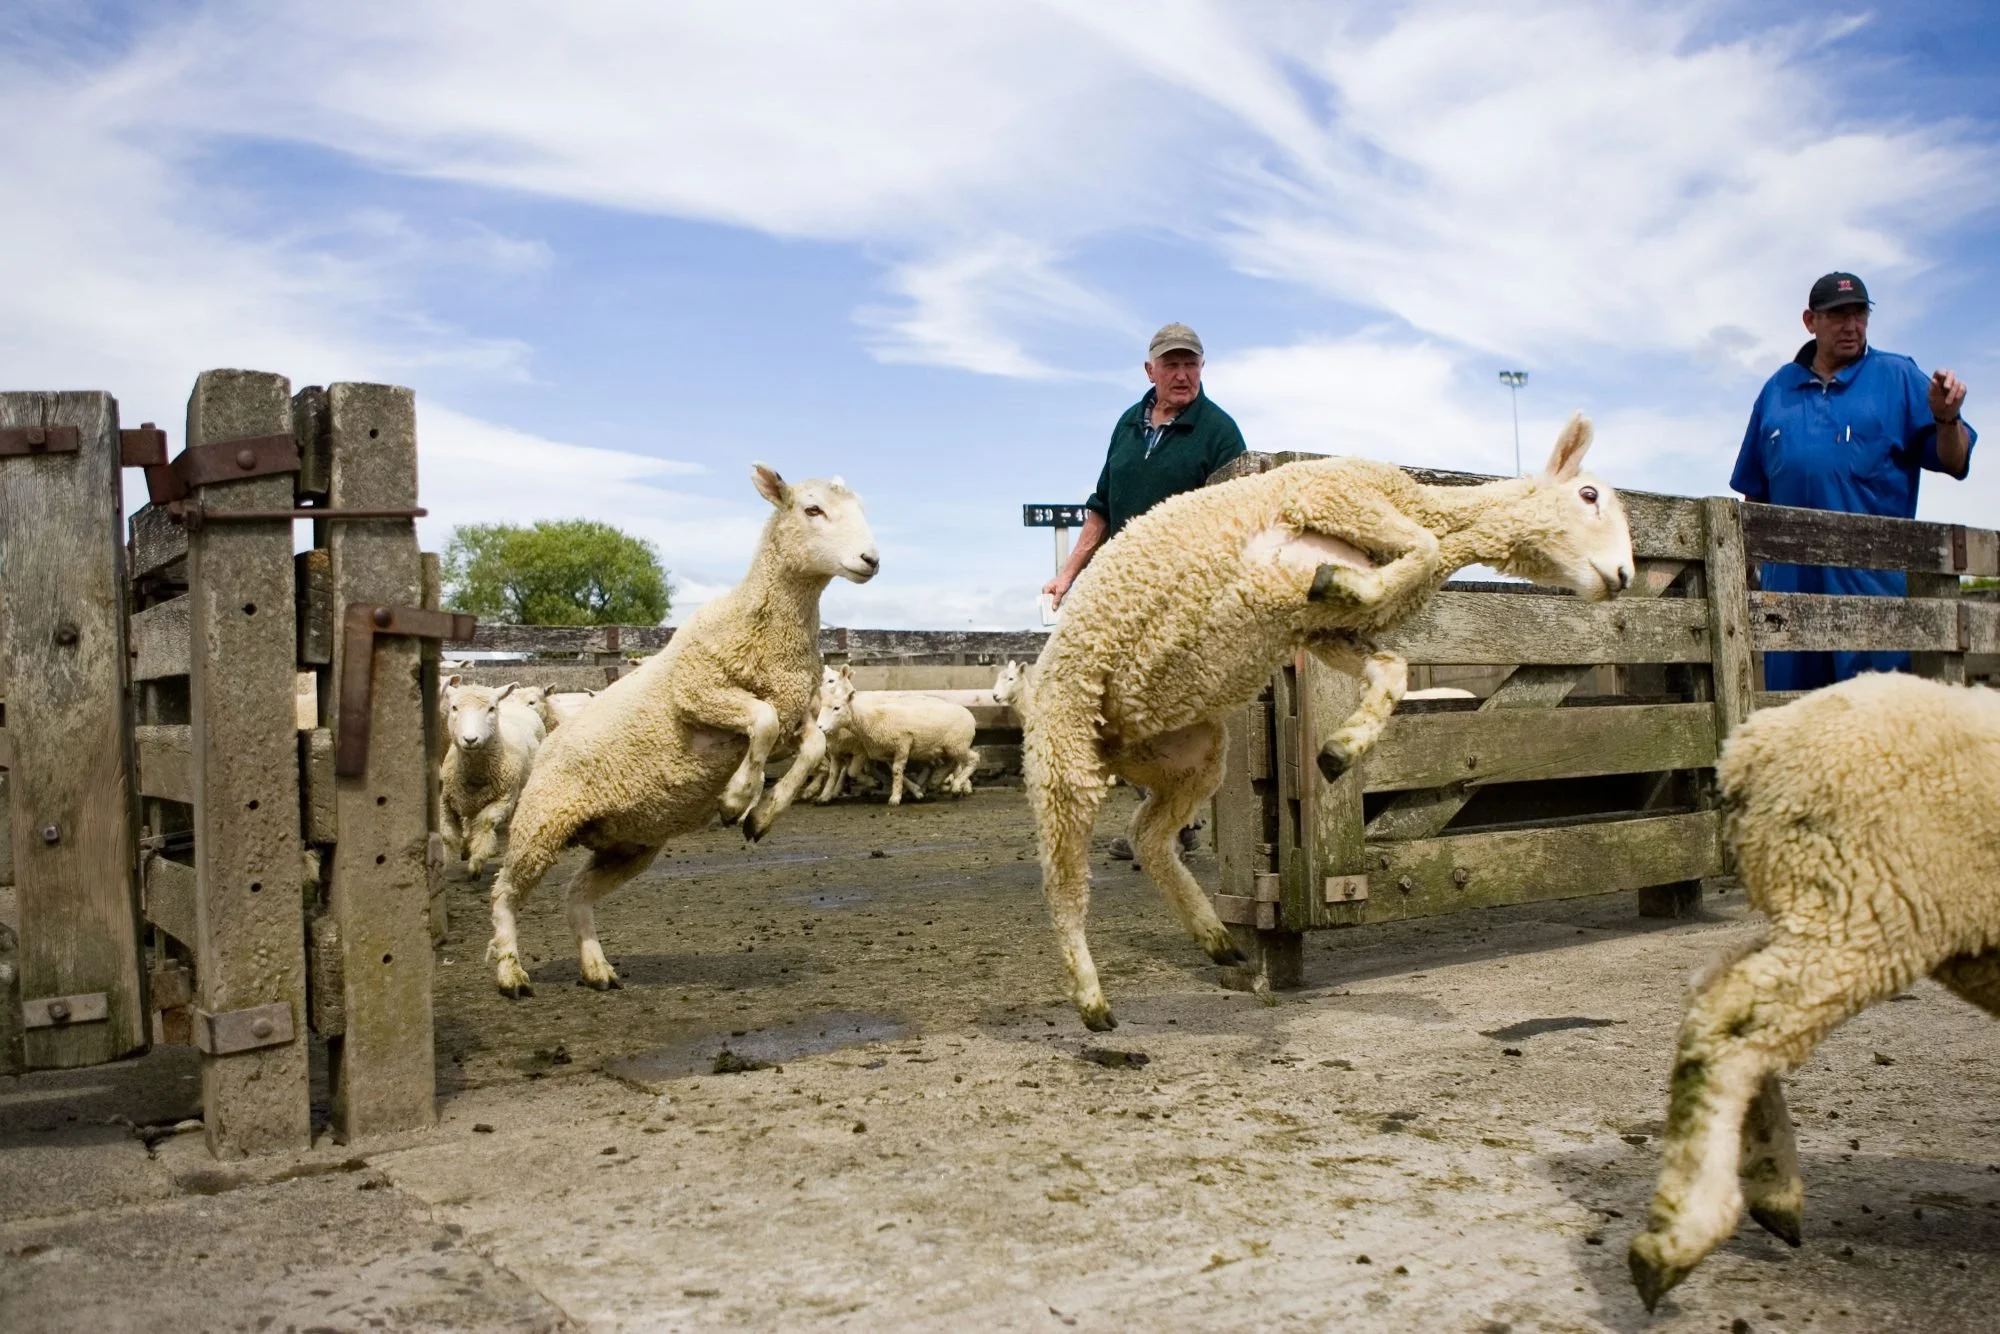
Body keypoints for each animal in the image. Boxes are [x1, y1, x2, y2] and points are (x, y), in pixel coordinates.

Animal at [440, 681, 545, 876]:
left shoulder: (503, 800)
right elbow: (448, 836)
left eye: (491, 709)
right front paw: (448, 866)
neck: (474, 774)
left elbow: (485, 823)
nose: (470, 739)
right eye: (454, 708)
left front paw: (477, 862)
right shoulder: (446, 800)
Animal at [485, 465, 878, 996]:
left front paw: (761, 817)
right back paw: (511, 972)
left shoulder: (792, 719)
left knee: (576, 895)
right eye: (811, 509)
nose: (870, 559)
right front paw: (736, 798)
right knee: (504, 893)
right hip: (541, 822)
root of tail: (549, 741)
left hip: (629, 845)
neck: (768, 630)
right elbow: (761, 719)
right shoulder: (698, 693)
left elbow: (812, 746)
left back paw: (596, 969)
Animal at [812, 665, 979, 805]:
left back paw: (958, 786)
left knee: (971, 760)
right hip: (944, 748)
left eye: (831, 680)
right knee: (949, 763)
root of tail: (969, 715)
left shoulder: (889, 747)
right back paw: (936, 781)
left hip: (956, 745)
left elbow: (881, 771)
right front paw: (825, 796)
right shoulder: (852, 751)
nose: (820, 727)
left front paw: (895, 795)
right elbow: (835, 773)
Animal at [1024, 416, 1633, 1030]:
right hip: (1063, 746)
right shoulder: (1332, 494)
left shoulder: (1325, 631)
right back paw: (1091, 999)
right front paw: (1334, 578)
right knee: (1063, 886)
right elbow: (1422, 546)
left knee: (1148, 837)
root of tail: (1111, 741)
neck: (1431, 508)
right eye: (1589, 495)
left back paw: (1216, 937)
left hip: (1190, 754)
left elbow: (1393, 670)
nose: (1625, 576)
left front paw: (1342, 749)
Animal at [1628, 673, 2000, 1311]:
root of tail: (1754, 742)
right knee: (1732, 1020)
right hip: (1866, 903)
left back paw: (1772, 1187)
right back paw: (1681, 1235)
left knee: (1718, 992)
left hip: (1825, 904)